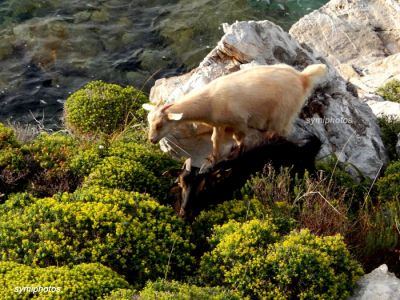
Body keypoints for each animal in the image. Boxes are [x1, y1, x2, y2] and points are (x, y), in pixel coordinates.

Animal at [142, 63, 326, 162]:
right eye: (150, 121)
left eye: (160, 124)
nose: (151, 140)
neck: (209, 101)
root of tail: (302, 78)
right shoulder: (218, 124)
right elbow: (215, 139)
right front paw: (212, 157)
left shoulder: (239, 121)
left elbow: (239, 138)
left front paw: (236, 153)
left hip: (283, 111)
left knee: (281, 130)